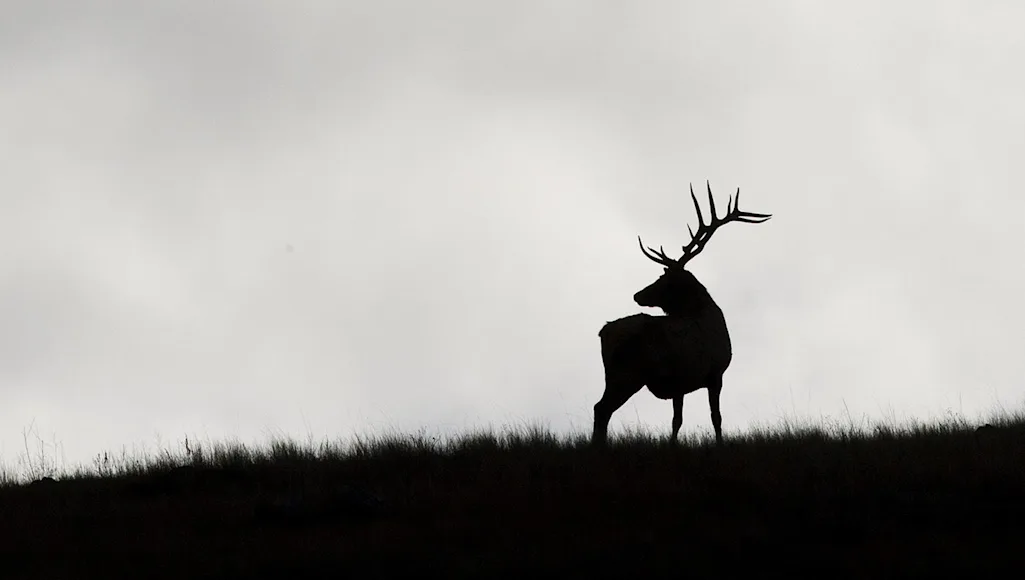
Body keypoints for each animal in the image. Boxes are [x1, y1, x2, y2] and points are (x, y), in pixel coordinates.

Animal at [593, 181, 771, 447]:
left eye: (664, 279)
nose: (638, 295)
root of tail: (603, 332)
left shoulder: (681, 383)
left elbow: (678, 420)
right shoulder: (716, 372)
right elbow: (716, 417)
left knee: (601, 409)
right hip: (627, 373)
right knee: (601, 409)